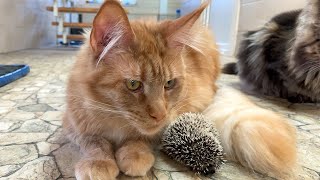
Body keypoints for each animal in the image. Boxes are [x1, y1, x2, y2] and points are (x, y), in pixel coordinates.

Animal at [63, 0, 298, 179]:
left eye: (169, 84)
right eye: (133, 84)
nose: (160, 115)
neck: (116, 122)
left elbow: (142, 138)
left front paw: (134, 153)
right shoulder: (73, 123)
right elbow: (94, 142)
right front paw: (99, 161)